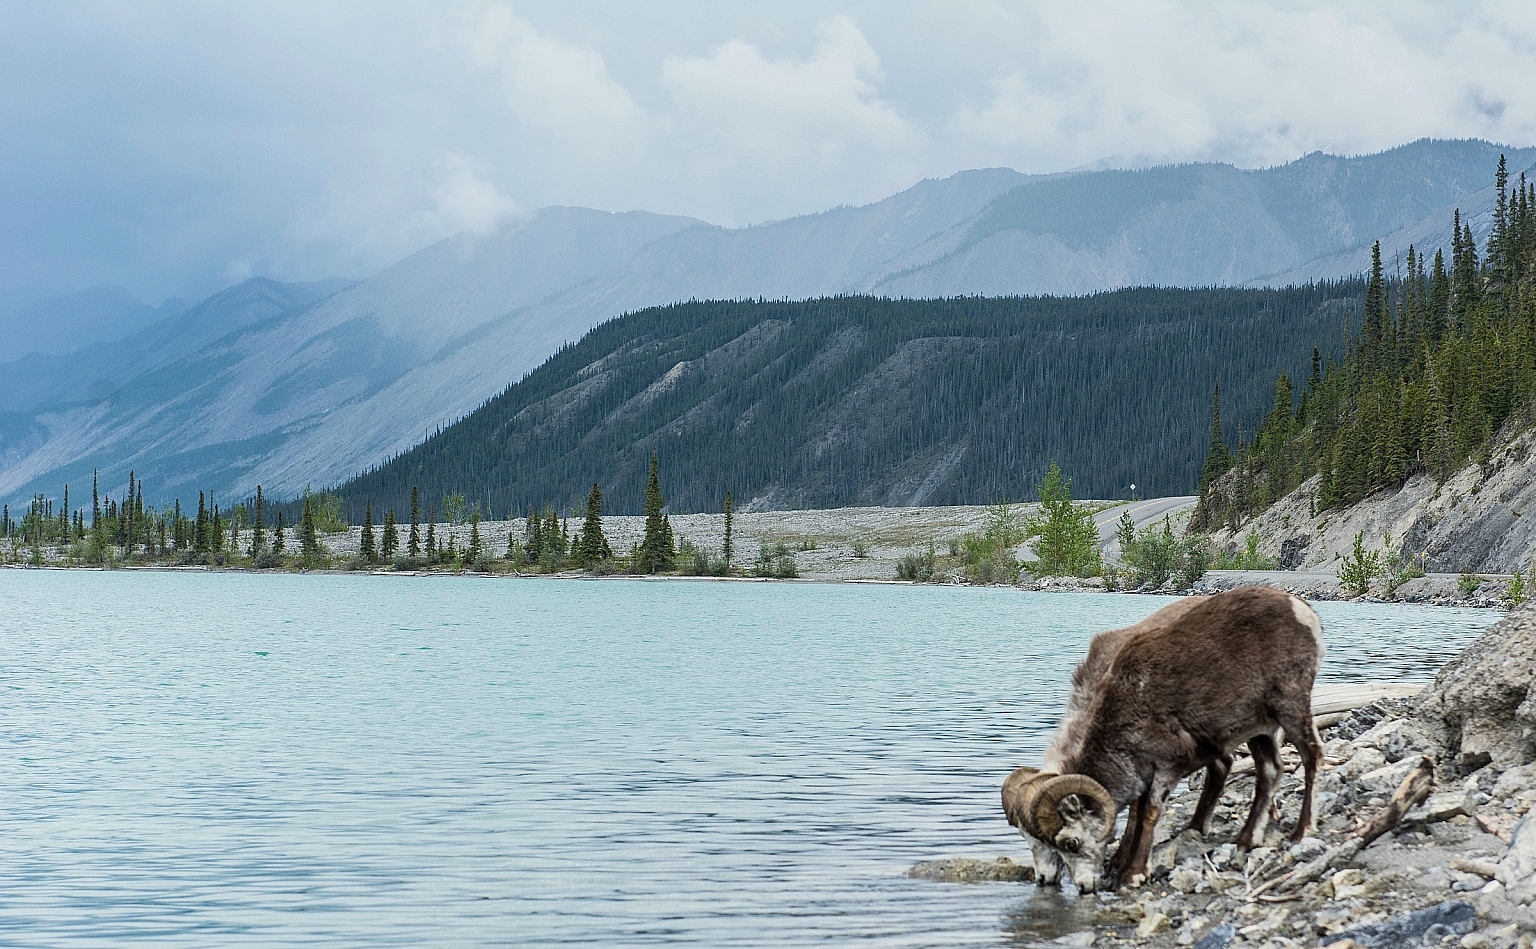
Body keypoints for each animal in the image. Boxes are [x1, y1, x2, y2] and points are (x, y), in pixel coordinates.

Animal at [1001, 586, 1324, 892]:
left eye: (1070, 843)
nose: (1081, 886)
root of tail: (1301, 610)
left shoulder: (1166, 768)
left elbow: (1148, 813)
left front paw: (1132, 874)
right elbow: (1137, 811)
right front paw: (1120, 865)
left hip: (1289, 706)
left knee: (1312, 755)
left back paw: (1302, 831)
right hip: (1259, 729)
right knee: (1270, 770)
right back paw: (1244, 840)